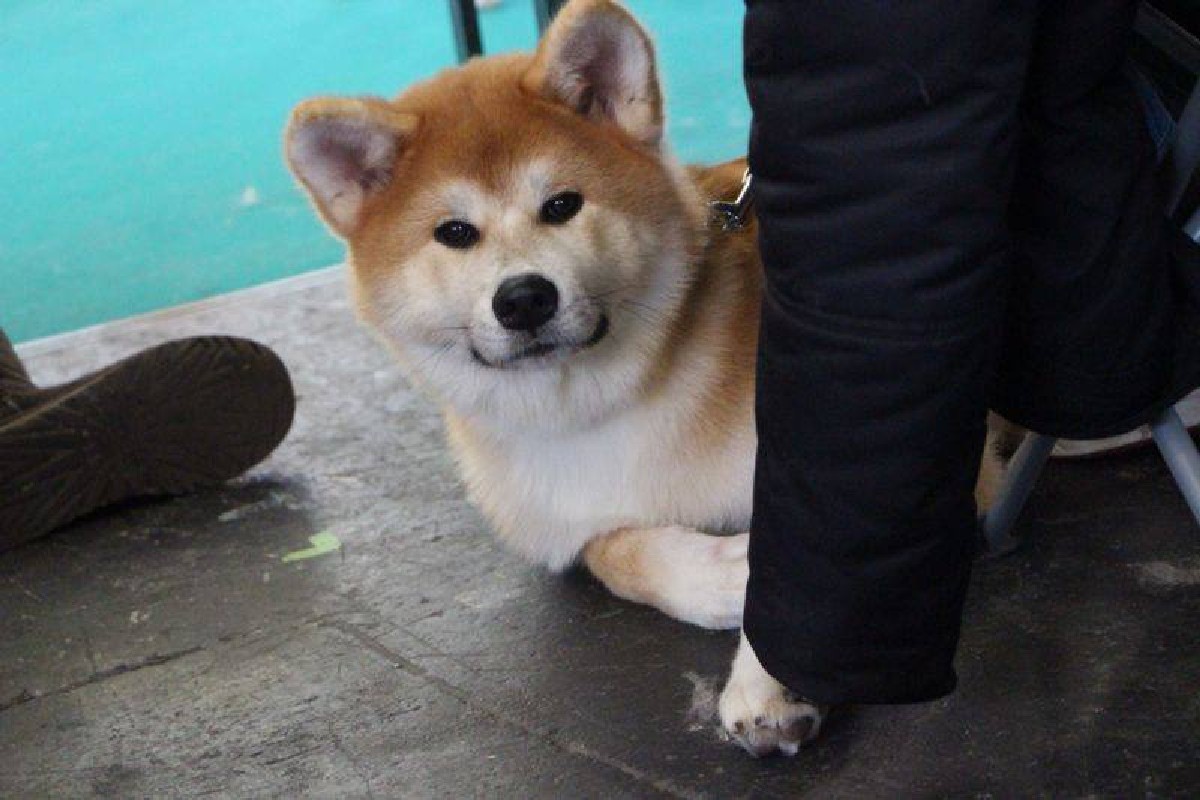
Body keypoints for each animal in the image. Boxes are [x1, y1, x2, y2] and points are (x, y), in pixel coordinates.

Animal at [285, 0, 1004, 756]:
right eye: (454, 232)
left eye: (562, 205)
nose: (524, 298)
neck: (604, 407)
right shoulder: (570, 519)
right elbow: (613, 552)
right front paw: (722, 576)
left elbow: (829, 556)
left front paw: (772, 678)